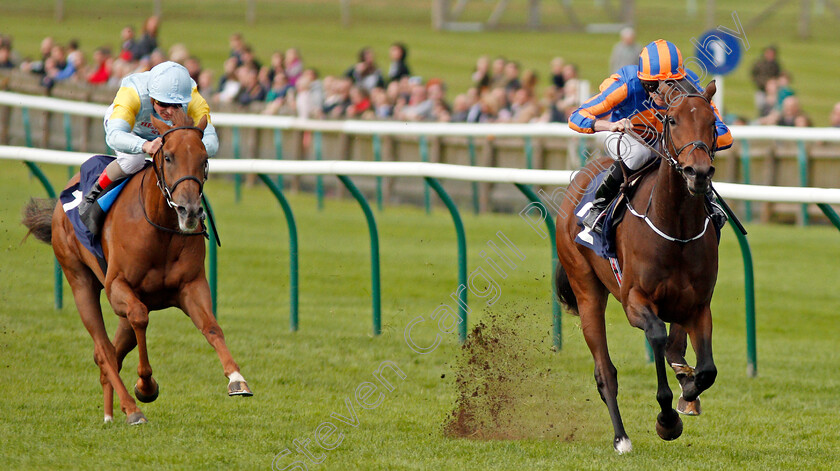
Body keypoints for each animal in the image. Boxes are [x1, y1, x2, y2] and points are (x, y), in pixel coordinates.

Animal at [22, 109, 253, 426]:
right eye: (167, 156)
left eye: (204, 158)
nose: (190, 211)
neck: (161, 230)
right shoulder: (118, 287)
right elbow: (140, 319)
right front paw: (145, 386)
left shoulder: (191, 285)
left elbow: (212, 327)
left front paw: (236, 378)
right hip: (80, 280)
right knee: (104, 350)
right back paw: (131, 409)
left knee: (113, 351)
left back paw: (109, 414)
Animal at [556, 81, 720, 454]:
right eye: (672, 120)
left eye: (712, 123)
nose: (698, 173)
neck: (676, 230)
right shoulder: (634, 300)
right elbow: (656, 335)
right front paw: (667, 420)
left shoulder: (699, 305)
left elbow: (706, 369)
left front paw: (688, 392)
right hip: (586, 288)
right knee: (605, 372)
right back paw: (622, 438)